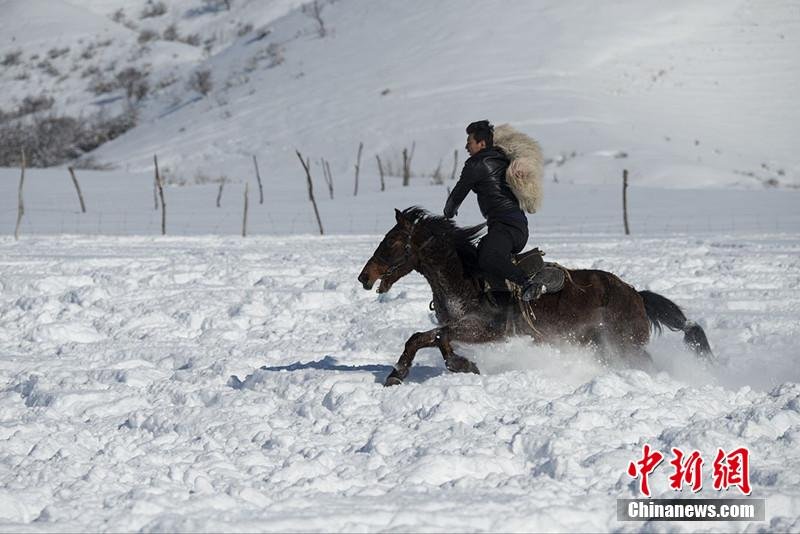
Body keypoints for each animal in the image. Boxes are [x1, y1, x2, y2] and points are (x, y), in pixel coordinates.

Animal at [356, 207, 712, 388]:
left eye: (391, 242)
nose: (364, 277)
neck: (465, 278)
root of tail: (636, 294)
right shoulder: (460, 326)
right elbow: (428, 338)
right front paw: (403, 372)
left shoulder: (486, 330)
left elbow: (433, 338)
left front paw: (458, 366)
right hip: (602, 345)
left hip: (625, 345)